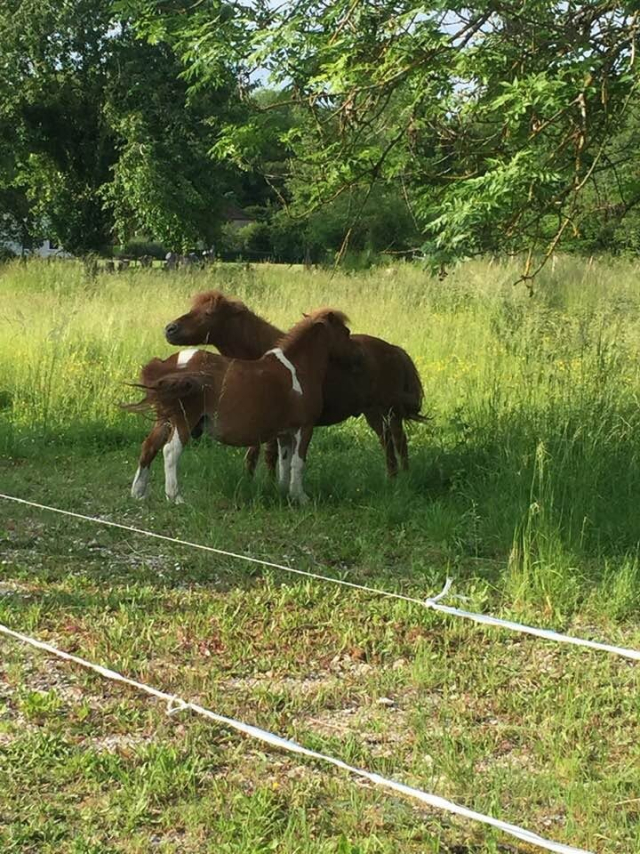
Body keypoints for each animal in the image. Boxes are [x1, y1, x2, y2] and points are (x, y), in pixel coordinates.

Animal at [125, 308, 358, 505]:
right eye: (346, 332)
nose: (354, 356)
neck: (297, 369)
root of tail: (171, 364)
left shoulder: (285, 433)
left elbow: (284, 463)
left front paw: (283, 492)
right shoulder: (304, 428)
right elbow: (298, 463)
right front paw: (300, 497)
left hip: (165, 420)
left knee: (149, 447)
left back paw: (138, 493)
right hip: (183, 420)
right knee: (170, 451)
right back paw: (175, 497)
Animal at [164, 290, 426, 477]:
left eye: (208, 313)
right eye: (192, 308)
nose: (169, 329)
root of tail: (394, 350)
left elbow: (267, 456)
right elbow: (255, 455)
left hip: (385, 411)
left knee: (395, 442)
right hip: (380, 413)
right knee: (393, 442)